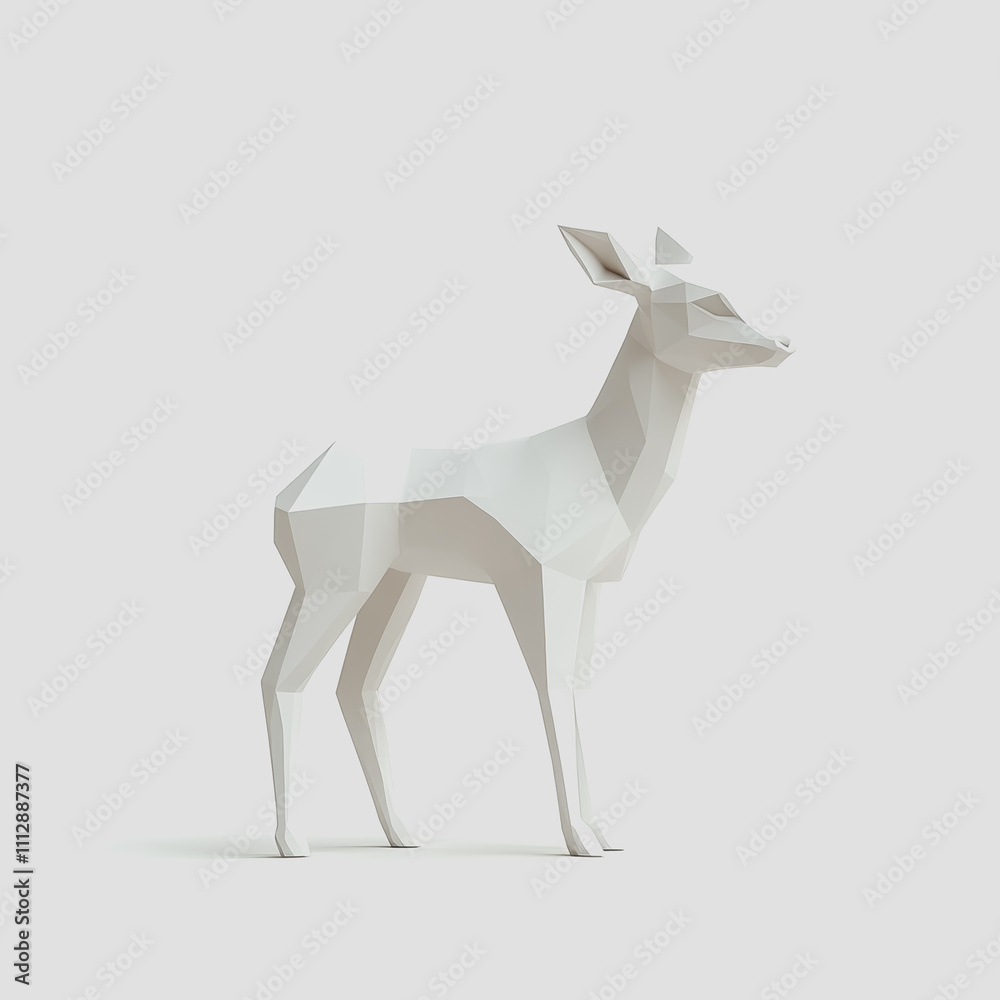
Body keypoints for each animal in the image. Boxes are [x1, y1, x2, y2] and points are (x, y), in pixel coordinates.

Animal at [261, 226, 794, 858]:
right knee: (280, 679)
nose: (783, 342)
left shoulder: (592, 583)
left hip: (397, 582)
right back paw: (292, 841)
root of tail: (291, 490)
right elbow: (551, 685)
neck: (599, 467)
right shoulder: (539, 576)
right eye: (708, 302)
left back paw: (404, 834)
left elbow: (580, 684)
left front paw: (605, 833)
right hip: (331, 580)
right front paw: (579, 841)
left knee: (356, 689)